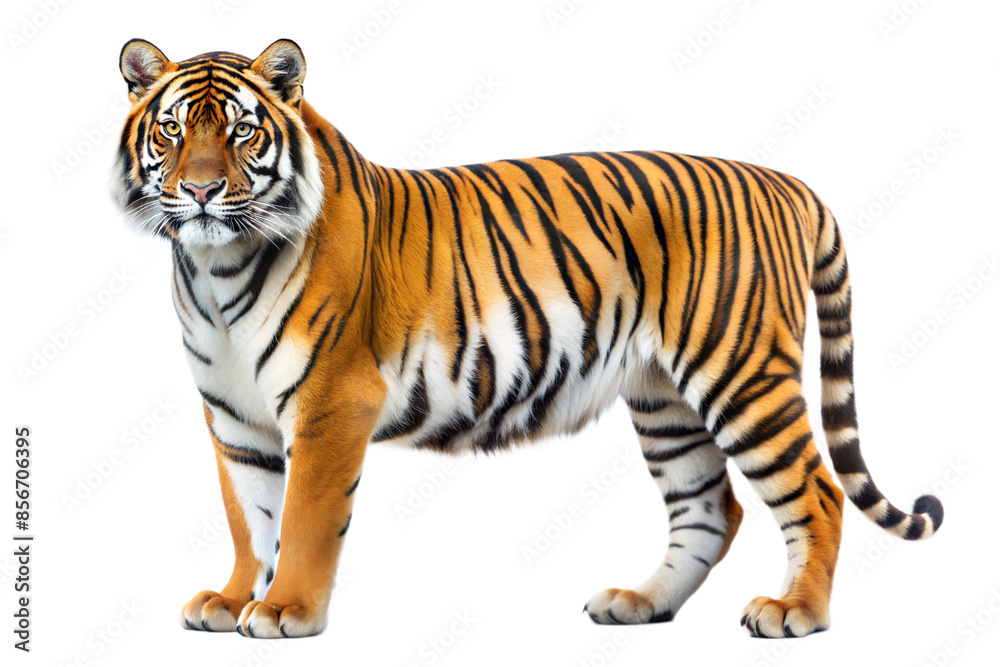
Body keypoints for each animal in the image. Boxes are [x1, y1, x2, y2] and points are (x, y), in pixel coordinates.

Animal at [111, 38, 943, 640]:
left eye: (243, 131)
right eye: (173, 130)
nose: (201, 190)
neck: (215, 269)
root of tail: (786, 182)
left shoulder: (331, 402)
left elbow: (306, 518)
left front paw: (287, 610)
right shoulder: (234, 415)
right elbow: (249, 515)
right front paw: (230, 599)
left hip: (741, 373)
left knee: (817, 492)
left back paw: (796, 612)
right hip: (664, 398)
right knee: (712, 508)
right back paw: (640, 602)